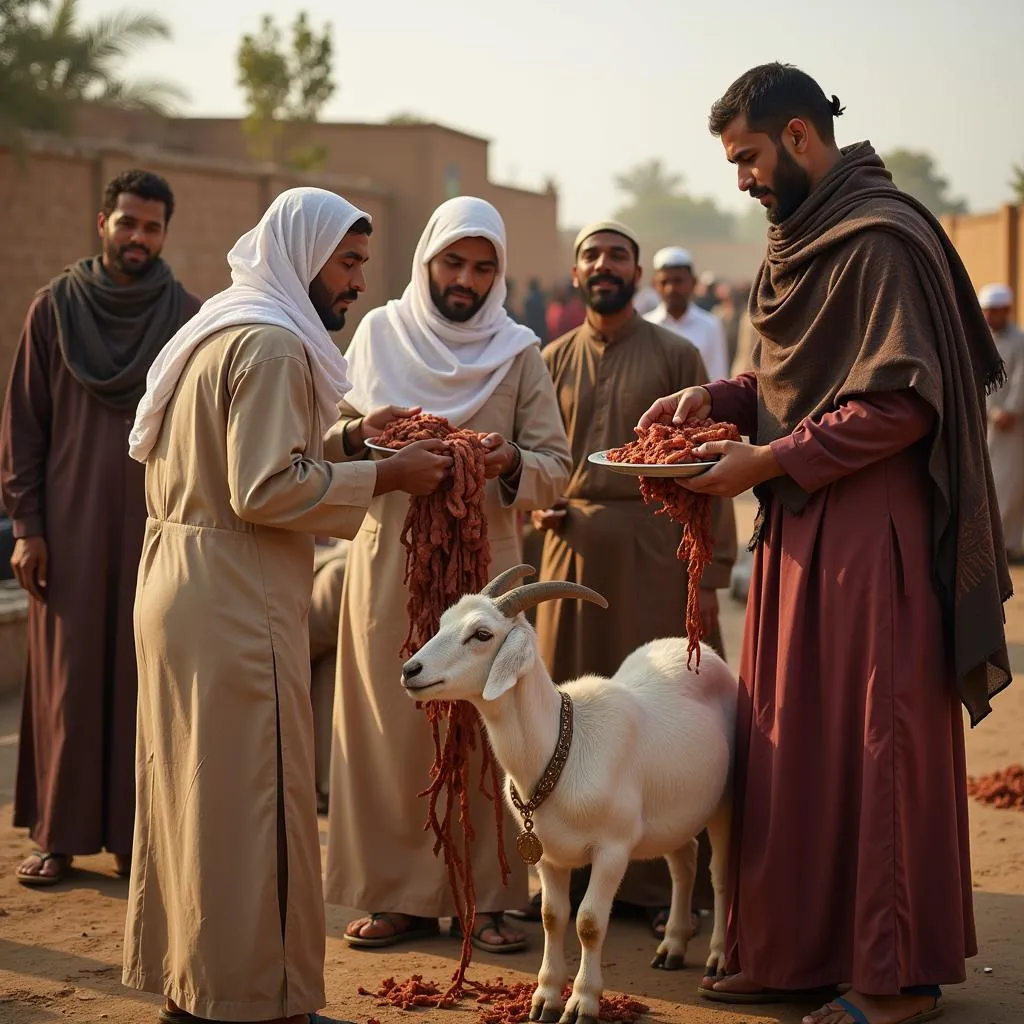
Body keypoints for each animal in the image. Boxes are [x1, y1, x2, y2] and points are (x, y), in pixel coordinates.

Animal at [399, 569, 737, 1024]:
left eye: (482, 634)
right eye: (442, 623)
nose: (410, 669)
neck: (565, 744)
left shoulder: (613, 848)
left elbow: (589, 922)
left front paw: (582, 1003)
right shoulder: (546, 853)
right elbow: (552, 917)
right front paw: (544, 999)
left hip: (724, 801)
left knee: (720, 875)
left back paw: (718, 959)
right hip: (673, 811)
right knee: (684, 863)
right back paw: (672, 947)